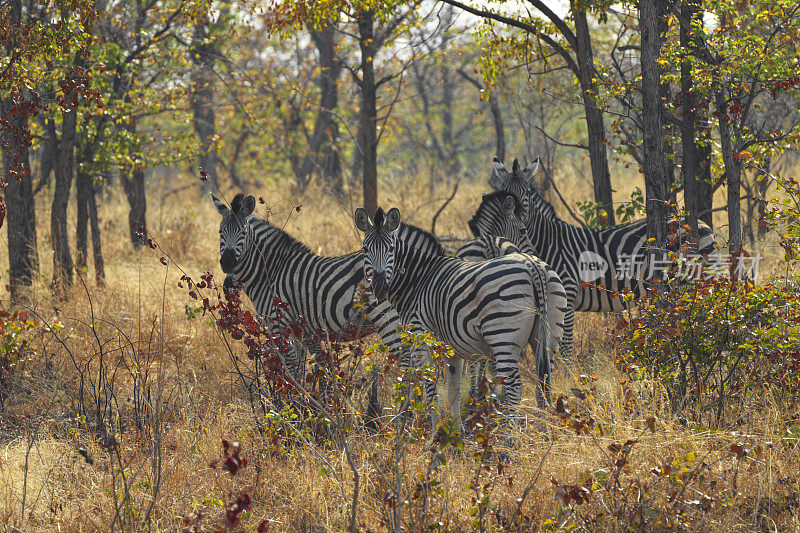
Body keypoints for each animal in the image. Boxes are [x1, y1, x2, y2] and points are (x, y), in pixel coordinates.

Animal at [209, 191, 410, 400]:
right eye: (220, 233)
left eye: (243, 233)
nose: (227, 263)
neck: (271, 271)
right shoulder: (302, 333)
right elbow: (303, 372)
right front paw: (308, 404)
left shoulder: (280, 327)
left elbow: (290, 374)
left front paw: (292, 405)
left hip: (390, 321)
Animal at [356, 206, 556, 434]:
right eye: (365, 250)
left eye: (391, 249)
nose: (380, 288)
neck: (417, 280)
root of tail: (532, 265)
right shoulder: (452, 349)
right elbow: (453, 390)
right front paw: (456, 432)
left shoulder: (421, 340)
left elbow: (429, 387)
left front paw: (433, 433)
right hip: (546, 334)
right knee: (544, 381)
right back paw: (545, 430)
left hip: (503, 335)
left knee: (515, 385)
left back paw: (508, 439)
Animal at [488, 156, 720, 358]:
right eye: (503, 193)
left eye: (526, 194)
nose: (515, 218)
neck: (550, 243)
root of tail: (702, 224)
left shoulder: (568, 295)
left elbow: (564, 348)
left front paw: (566, 376)